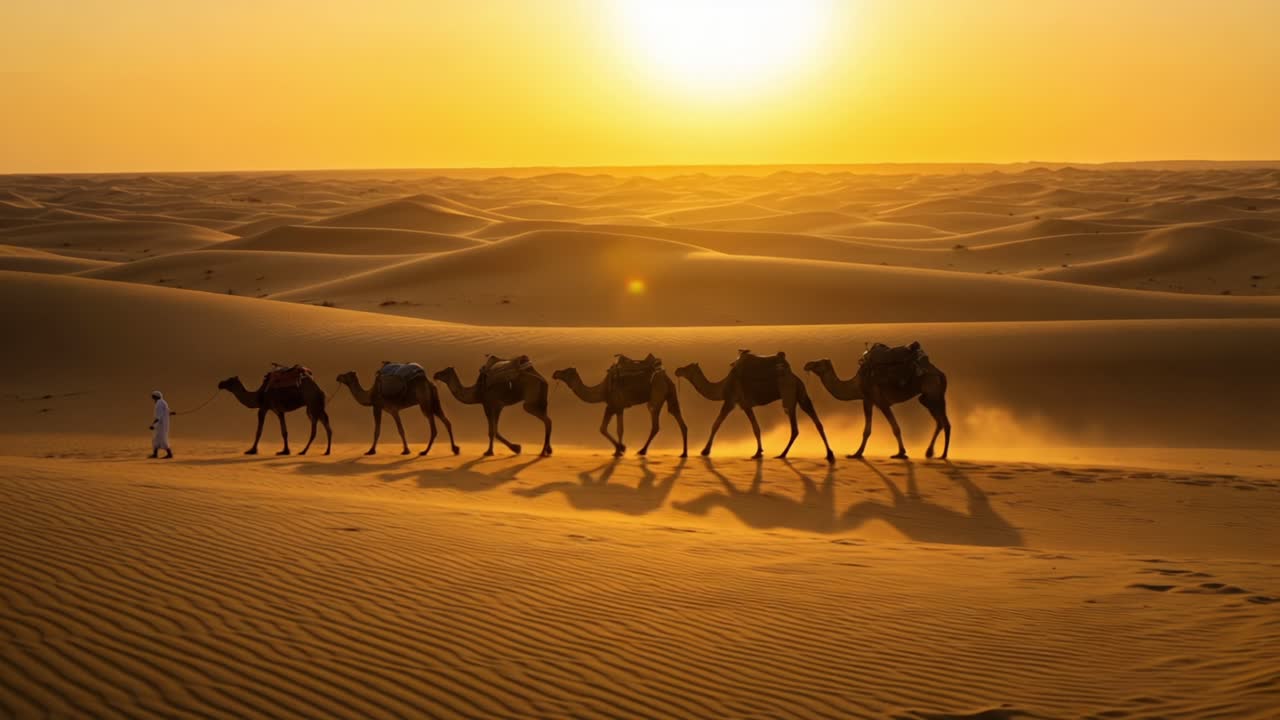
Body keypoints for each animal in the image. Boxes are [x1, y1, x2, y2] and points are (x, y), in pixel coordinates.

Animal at [552, 355, 688, 457]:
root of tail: (666, 378)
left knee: (655, 423)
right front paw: (619, 449)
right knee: (677, 416)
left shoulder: (614, 406)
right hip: (670, 394)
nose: (555, 372)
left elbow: (611, 429)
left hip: (657, 394)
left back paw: (642, 451)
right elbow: (611, 429)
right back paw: (684, 453)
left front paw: (621, 449)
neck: (602, 390)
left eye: (566, 371)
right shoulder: (615, 408)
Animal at [674, 351, 834, 463]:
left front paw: (705, 451)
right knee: (815, 421)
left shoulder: (733, 401)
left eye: (687, 368)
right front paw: (759, 451)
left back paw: (783, 454)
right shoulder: (743, 403)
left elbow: (718, 424)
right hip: (801, 393)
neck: (723, 386)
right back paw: (829, 454)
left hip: (789, 394)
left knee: (795, 427)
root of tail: (794, 376)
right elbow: (755, 427)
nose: (677, 370)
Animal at [804, 351, 950, 460]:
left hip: (933, 392)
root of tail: (940, 373)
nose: (807, 364)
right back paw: (930, 452)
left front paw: (901, 453)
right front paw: (857, 453)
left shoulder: (880, 401)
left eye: (818, 363)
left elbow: (895, 428)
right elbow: (867, 430)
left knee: (945, 423)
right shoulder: (868, 400)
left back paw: (943, 455)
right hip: (929, 398)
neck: (857, 384)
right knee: (939, 422)